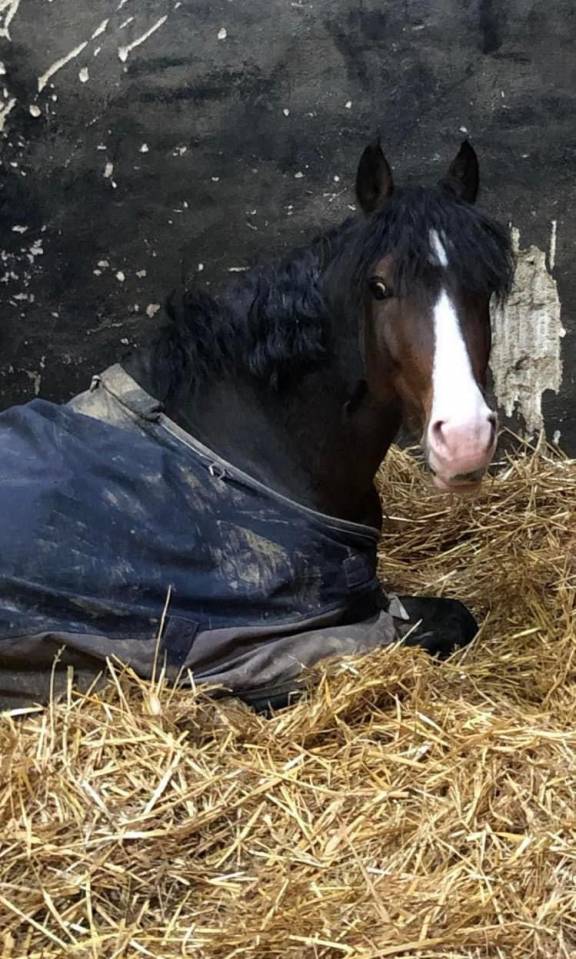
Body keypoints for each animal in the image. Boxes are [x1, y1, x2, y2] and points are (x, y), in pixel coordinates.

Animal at [0, 139, 513, 712]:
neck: (236, 449)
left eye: (484, 286)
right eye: (378, 287)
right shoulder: (256, 648)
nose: (466, 438)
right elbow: (445, 621)